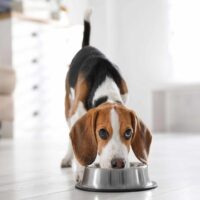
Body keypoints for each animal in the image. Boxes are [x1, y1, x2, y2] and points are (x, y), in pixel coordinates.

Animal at [61, 10, 152, 182]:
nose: (118, 163)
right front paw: (81, 172)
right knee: (69, 135)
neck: (105, 82)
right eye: (102, 132)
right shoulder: (77, 114)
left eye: (129, 133)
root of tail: (87, 46)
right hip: (68, 109)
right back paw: (67, 158)